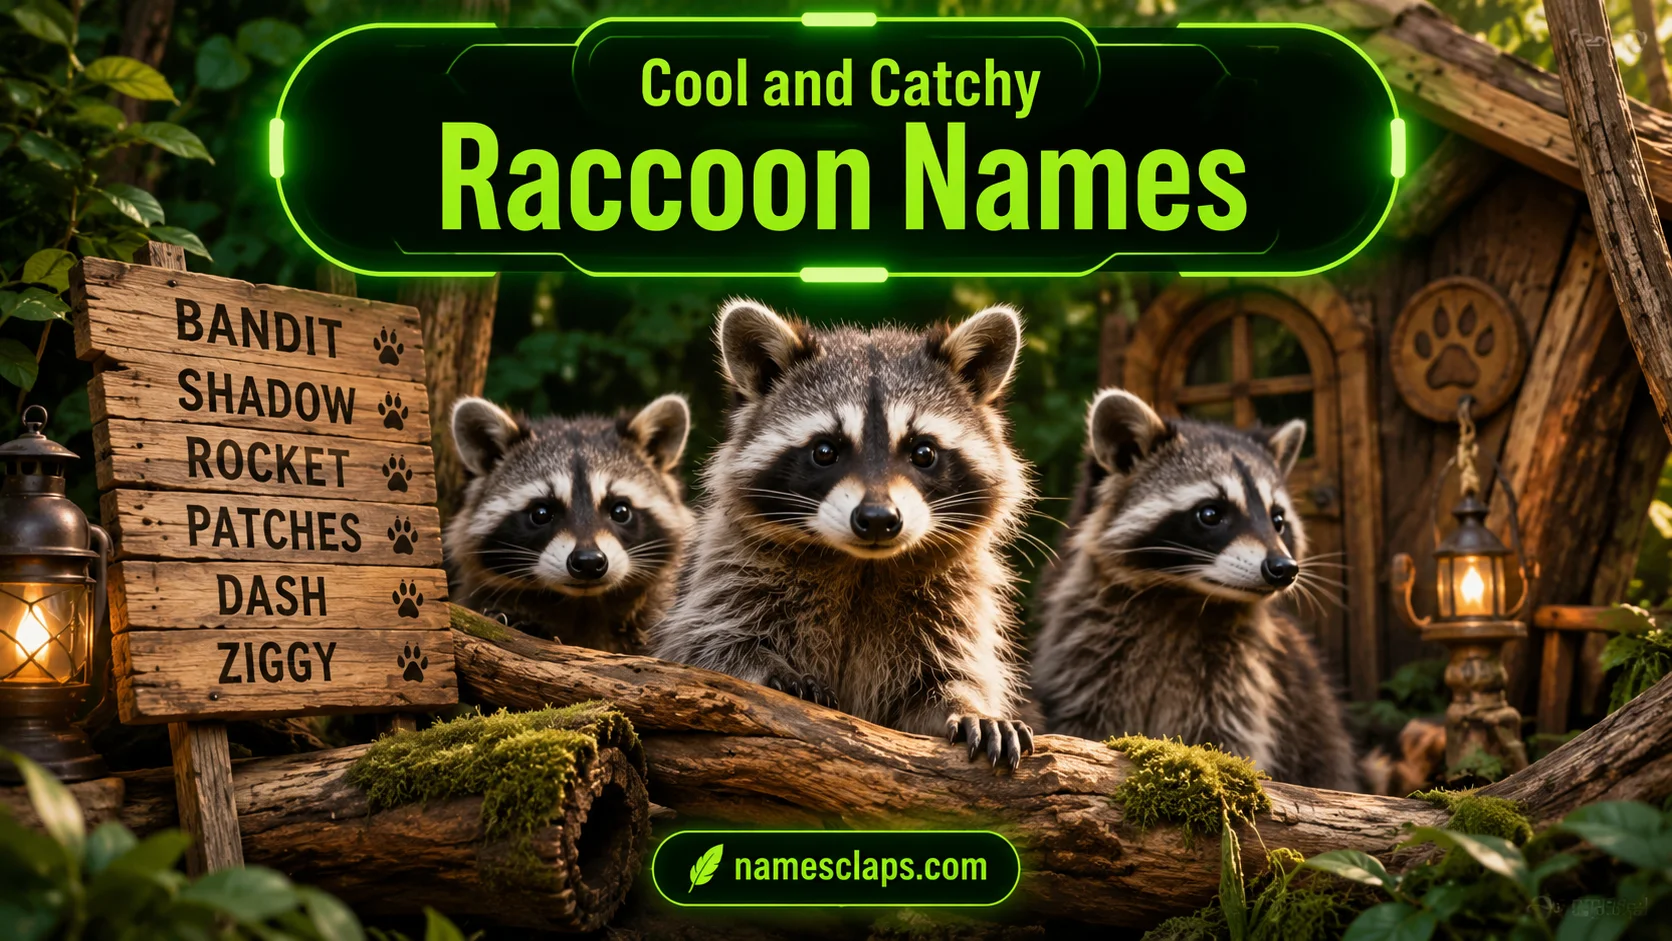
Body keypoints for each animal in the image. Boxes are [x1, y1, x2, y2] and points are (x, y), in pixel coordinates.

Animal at [652, 299, 1036, 769]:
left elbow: (946, 675)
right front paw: (769, 668)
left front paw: (970, 705)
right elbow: (707, 648)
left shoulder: (952, 603)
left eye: (923, 452)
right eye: (824, 451)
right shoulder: (731, 570)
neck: (862, 565)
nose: (877, 518)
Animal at [1033, 389, 1357, 790]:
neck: (1184, 596)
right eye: (1211, 514)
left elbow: (1225, 742)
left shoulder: (1240, 683)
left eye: (1277, 520)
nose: (1283, 569)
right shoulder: (1085, 655)